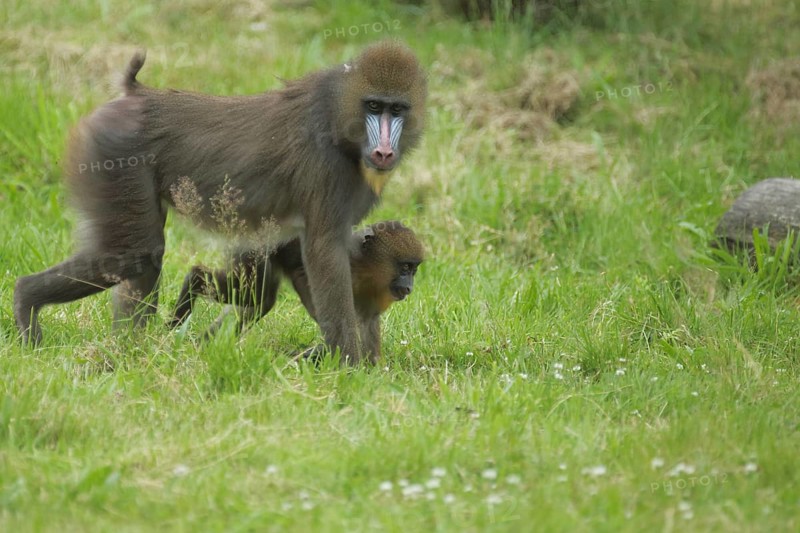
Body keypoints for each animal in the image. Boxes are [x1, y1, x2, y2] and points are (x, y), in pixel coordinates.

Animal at [169, 220, 424, 362]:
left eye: (413, 270)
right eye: (405, 268)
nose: (410, 286)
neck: (366, 267)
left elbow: (367, 325)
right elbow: (306, 279)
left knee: (261, 300)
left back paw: (203, 343)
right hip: (254, 249)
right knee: (252, 291)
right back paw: (191, 286)